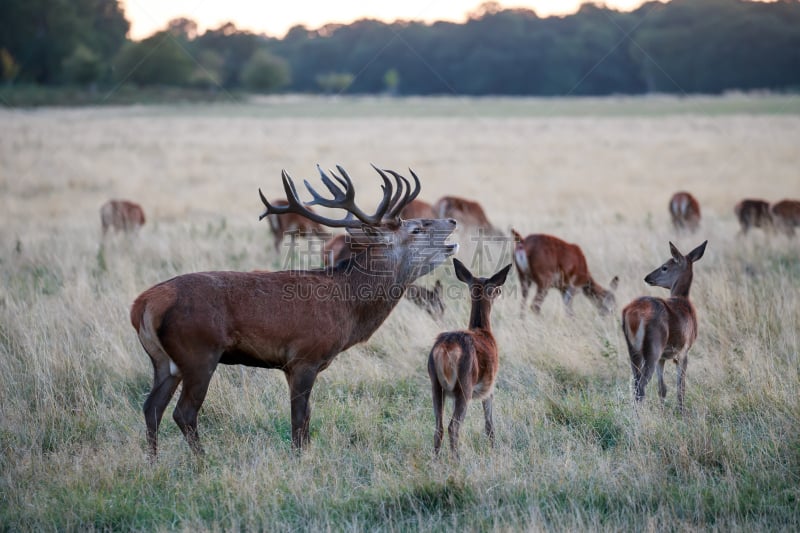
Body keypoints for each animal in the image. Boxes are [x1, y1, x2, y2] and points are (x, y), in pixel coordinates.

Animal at [130, 165, 456, 458]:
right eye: (416, 228)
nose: (452, 220)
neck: (347, 307)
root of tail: (142, 304)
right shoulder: (303, 357)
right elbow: (299, 422)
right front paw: (299, 462)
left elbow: (307, 420)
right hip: (199, 352)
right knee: (183, 412)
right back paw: (203, 462)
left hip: (164, 361)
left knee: (151, 407)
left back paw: (153, 462)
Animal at [428, 258, 510, 458]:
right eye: (494, 288)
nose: (500, 291)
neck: (484, 331)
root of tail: (445, 348)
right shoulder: (490, 386)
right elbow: (489, 424)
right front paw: (493, 448)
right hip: (465, 385)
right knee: (453, 427)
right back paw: (456, 460)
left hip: (435, 383)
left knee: (438, 427)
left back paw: (435, 460)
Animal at [624, 240, 708, 412]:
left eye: (664, 267)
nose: (647, 277)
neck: (684, 301)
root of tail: (633, 314)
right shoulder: (683, 351)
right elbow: (680, 387)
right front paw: (681, 412)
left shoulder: (663, 358)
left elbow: (662, 388)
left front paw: (663, 412)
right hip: (653, 347)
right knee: (641, 387)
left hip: (633, 350)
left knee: (635, 385)